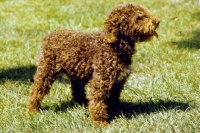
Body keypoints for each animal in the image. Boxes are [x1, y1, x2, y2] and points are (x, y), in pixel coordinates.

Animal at [27, 2, 159, 125]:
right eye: (139, 17)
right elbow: (98, 102)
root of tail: (49, 35)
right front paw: (99, 121)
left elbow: (113, 100)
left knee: (77, 90)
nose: (157, 21)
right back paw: (32, 110)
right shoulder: (101, 81)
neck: (114, 46)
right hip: (46, 71)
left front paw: (114, 113)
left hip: (76, 72)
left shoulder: (117, 82)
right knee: (36, 91)